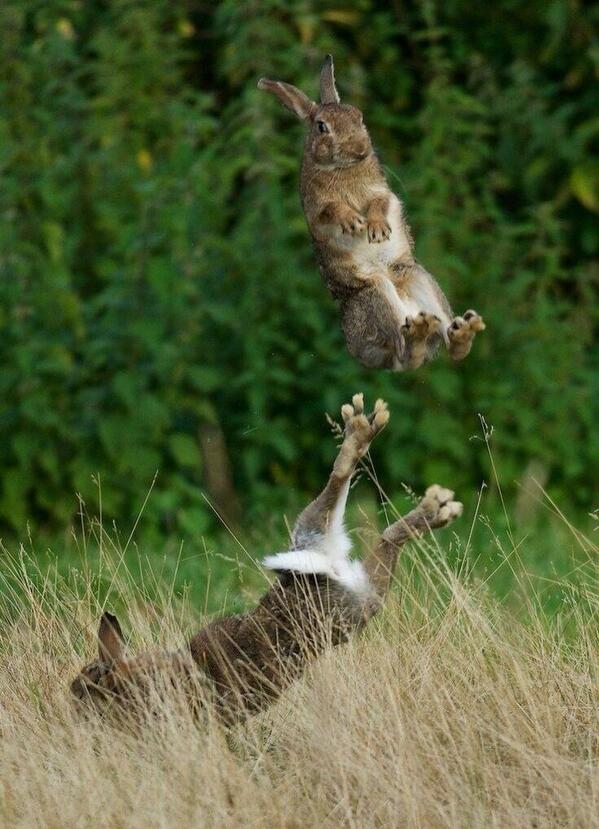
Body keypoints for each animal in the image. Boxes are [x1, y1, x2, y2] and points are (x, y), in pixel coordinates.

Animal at [71, 394, 462, 724]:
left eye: (85, 685)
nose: (71, 702)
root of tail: (326, 566)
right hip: (346, 583)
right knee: (377, 530)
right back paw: (433, 505)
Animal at [257, 56, 485, 371]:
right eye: (321, 127)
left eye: (359, 116)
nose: (361, 149)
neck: (344, 169)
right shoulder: (316, 210)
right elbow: (332, 209)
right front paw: (353, 222)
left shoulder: (382, 193)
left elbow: (379, 204)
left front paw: (377, 230)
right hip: (376, 294)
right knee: (404, 354)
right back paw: (420, 334)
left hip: (417, 278)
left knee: (445, 347)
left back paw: (460, 330)